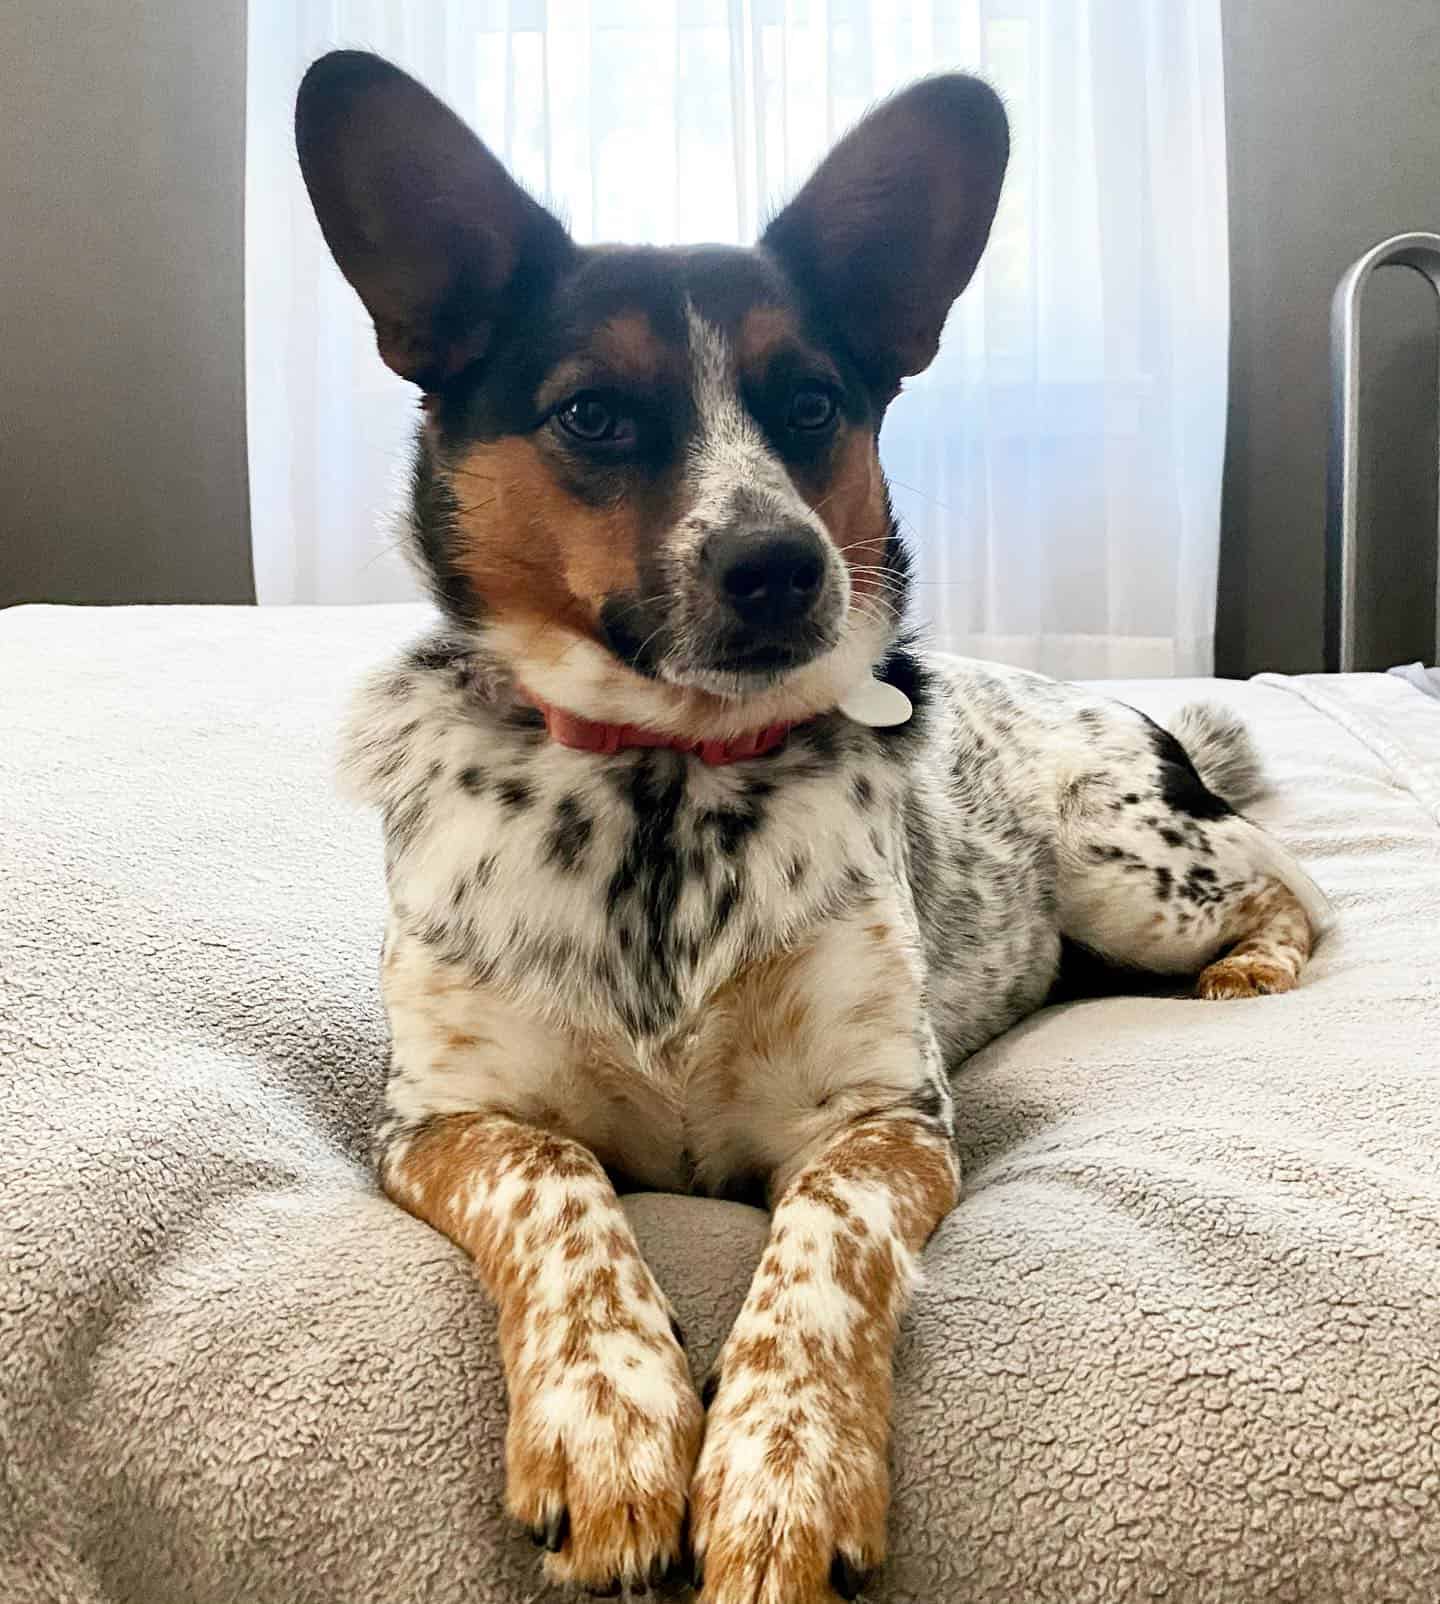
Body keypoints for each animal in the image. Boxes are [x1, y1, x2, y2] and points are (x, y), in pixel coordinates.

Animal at [298, 50, 1327, 1604]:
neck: (663, 785)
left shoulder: (882, 1122)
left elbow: (819, 1259)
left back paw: (1253, 964)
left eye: (814, 401)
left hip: (1126, 863)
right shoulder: (446, 1116)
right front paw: (609, 1426)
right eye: (592, 413)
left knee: (1289, 880)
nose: (782, 567)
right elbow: (560, 1186)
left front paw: (784, 1475)